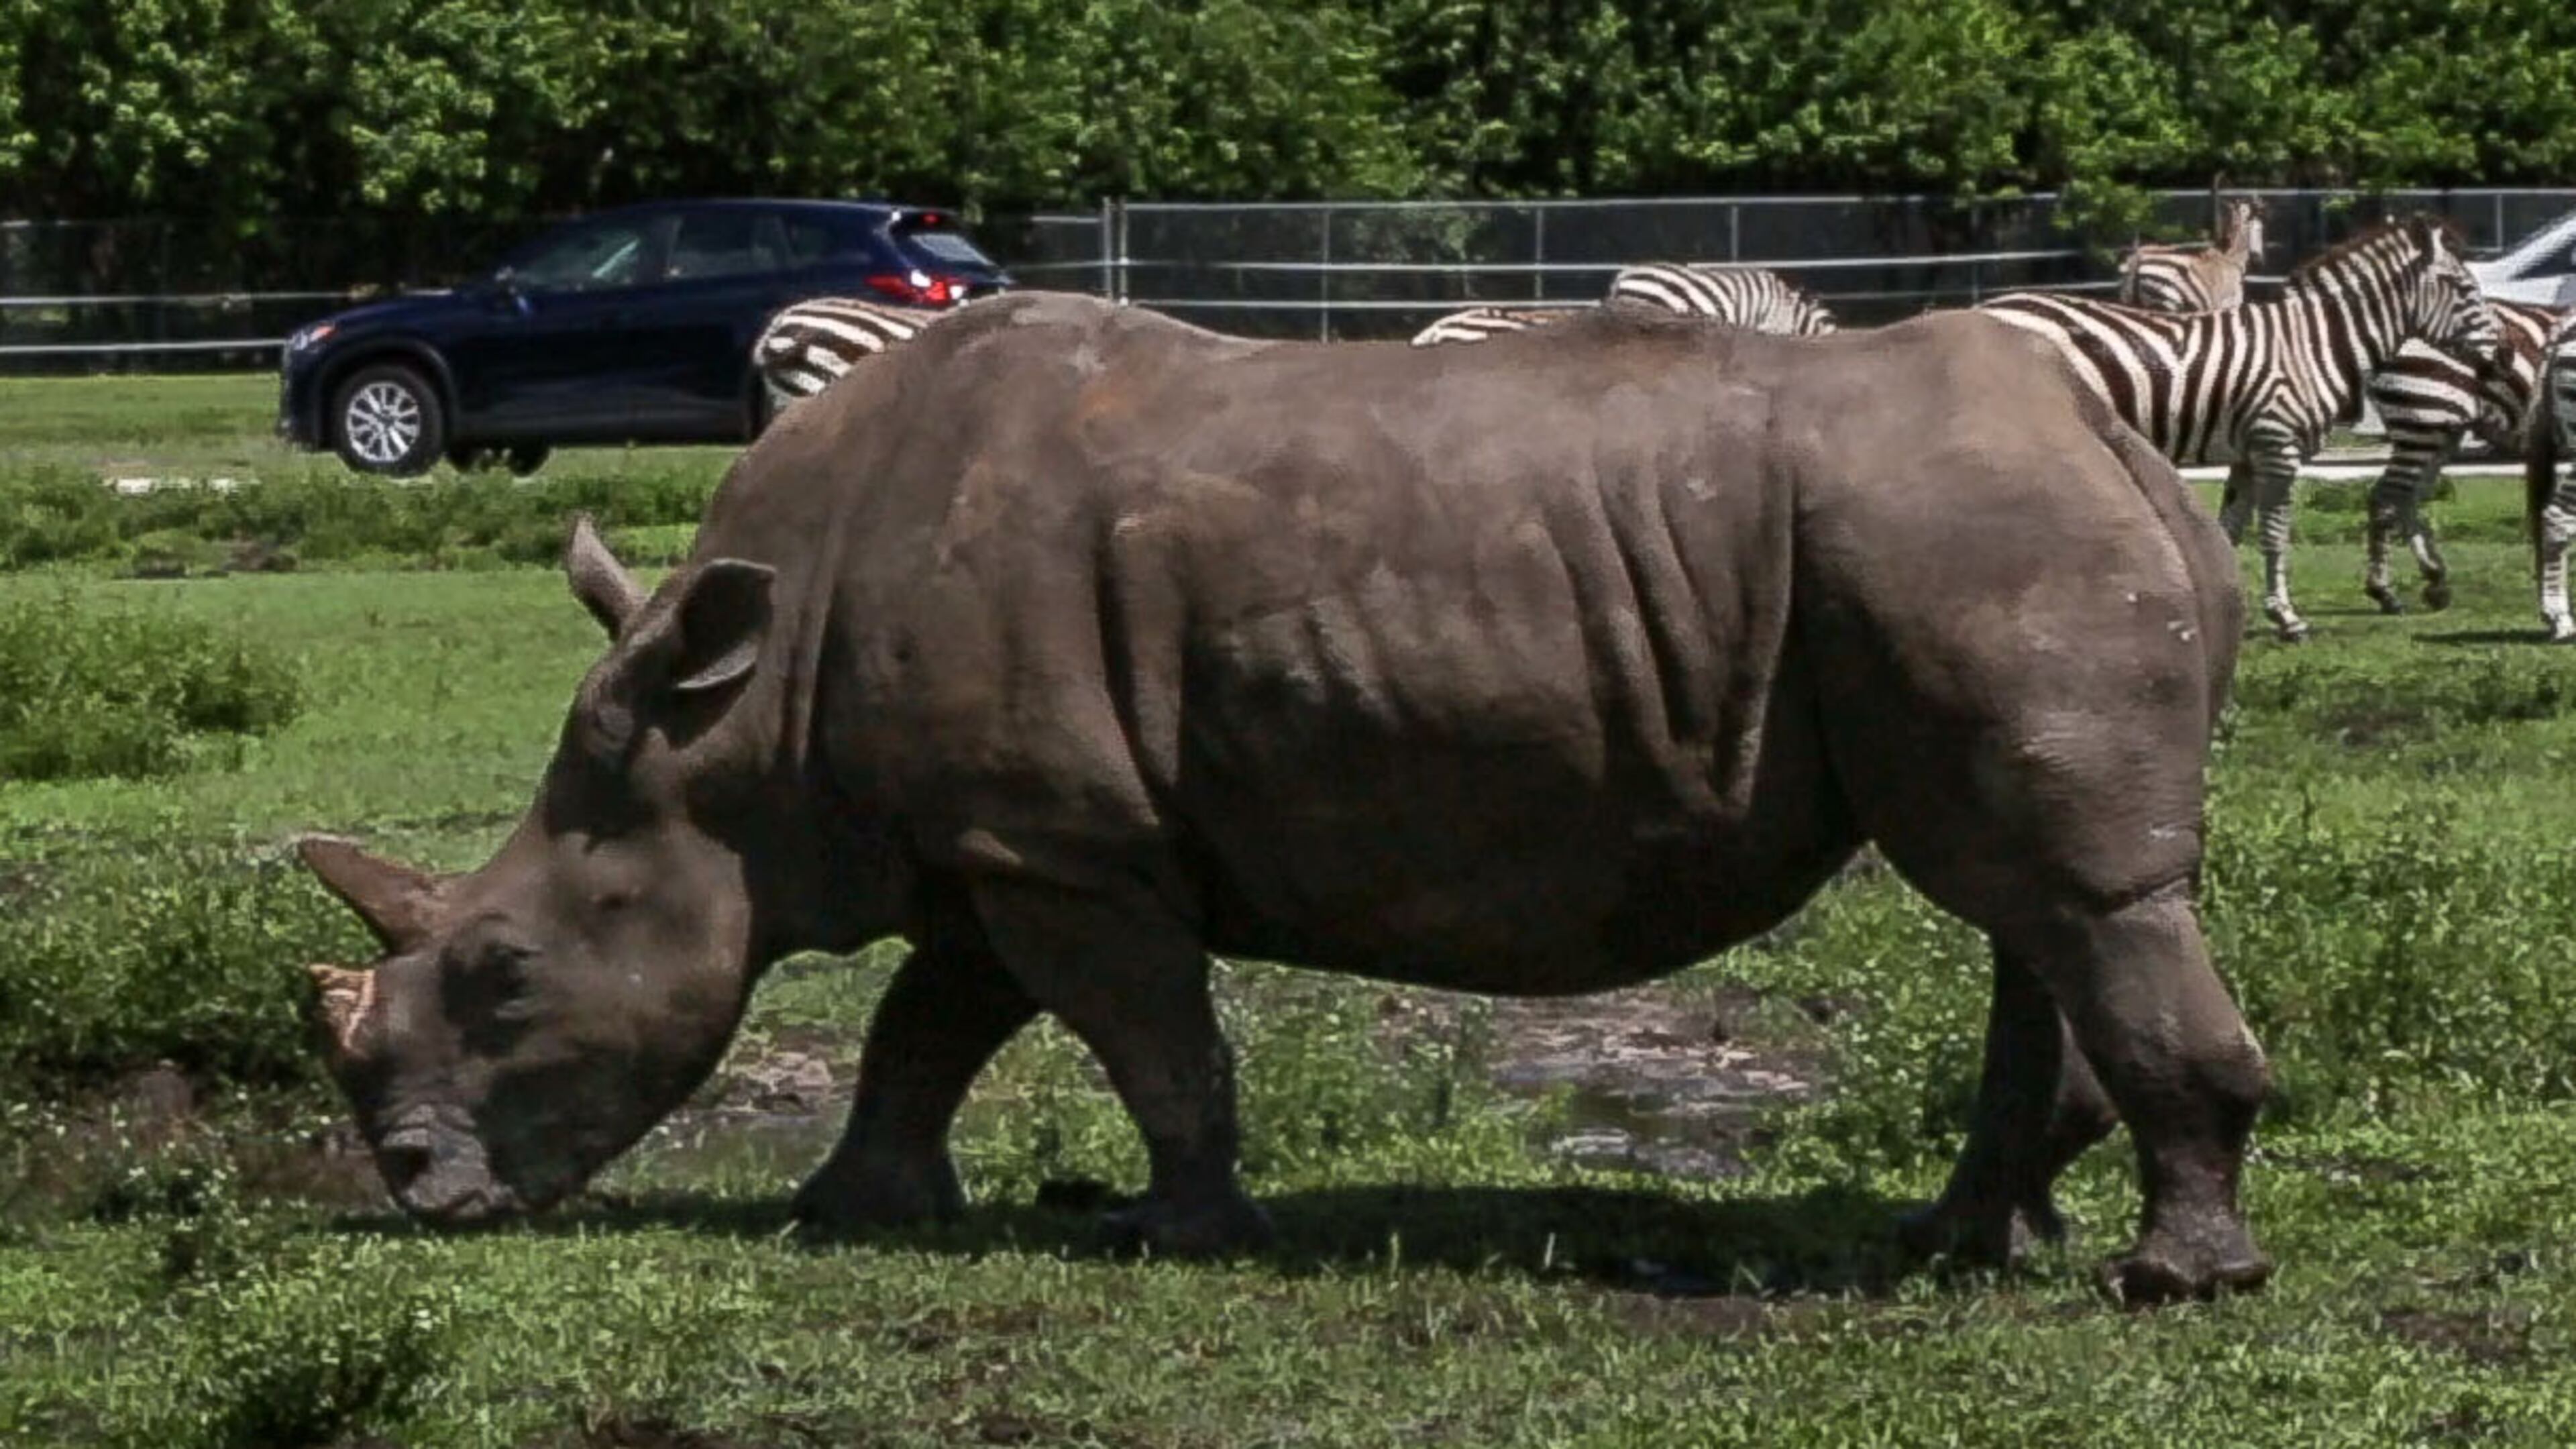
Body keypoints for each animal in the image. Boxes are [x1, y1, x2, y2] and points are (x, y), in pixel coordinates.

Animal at [296, 291, 2270, 1304]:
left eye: (503, 972)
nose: (419, 1191)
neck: (740, 735)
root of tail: (2110, 436)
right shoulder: (1002, 833)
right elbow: (929, 1023)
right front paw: (853, 1210)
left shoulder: (1061, 844)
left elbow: (1146, 1037)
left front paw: (1179, 1238)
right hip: (1970, 541)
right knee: (2031, 902)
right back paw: (1962, 1243)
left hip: (1966, 537)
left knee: (2067, 894)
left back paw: (2170, 1284)